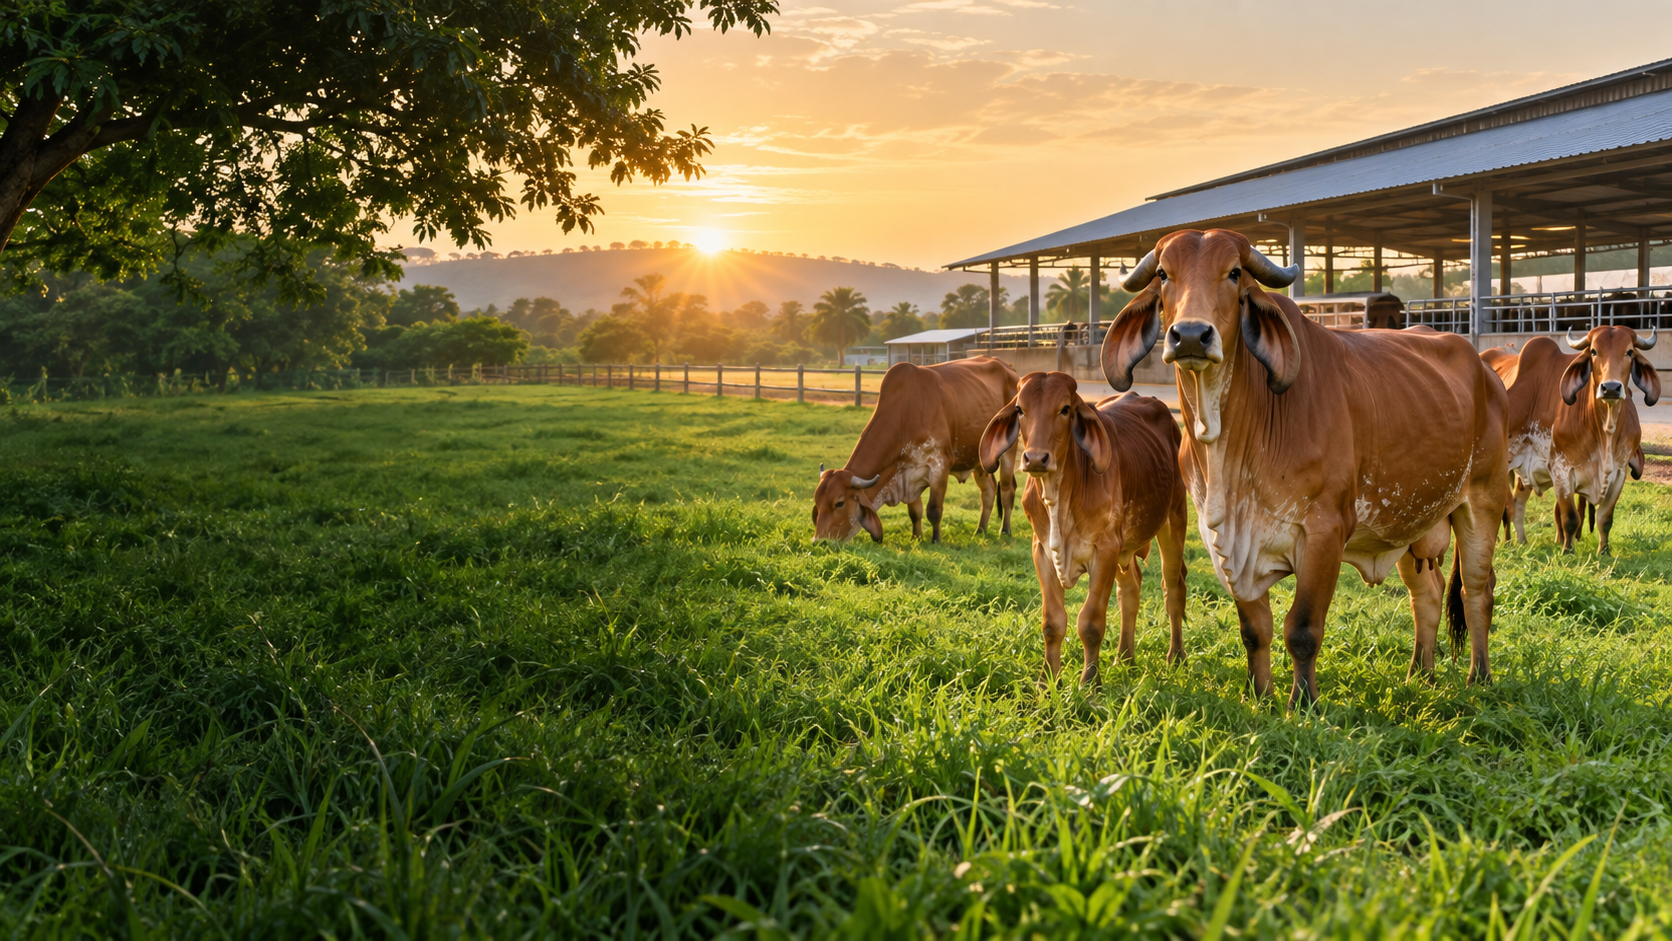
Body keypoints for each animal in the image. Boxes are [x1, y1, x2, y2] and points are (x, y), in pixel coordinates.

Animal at [814, 356, 1018, 543]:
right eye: (817, 502)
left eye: (839, 503)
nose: (819, 542)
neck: (905, 414)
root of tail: (1008, 367)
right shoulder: (907, 472)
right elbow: (915, 512)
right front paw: (916, 537)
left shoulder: (939, 466)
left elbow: (934, 510)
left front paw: (936, 540)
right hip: (980, 461)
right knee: (989, 491)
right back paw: (981, 530)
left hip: (1009, 451)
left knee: (1007, 490)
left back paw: (1005, 530)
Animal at [978, 373, 1188, 681]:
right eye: (1019, 409)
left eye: (1065, 409)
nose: (1035, 458)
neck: (1059, 496)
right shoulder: (1042, 551)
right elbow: (1052, 623)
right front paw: (1047, 682)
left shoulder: (1105, 551)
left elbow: (1090, 623)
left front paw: (1090, 683)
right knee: (1130, 589)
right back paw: (1124, 658)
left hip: (1174, 520)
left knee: (1173, 588)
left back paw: (1176, 656)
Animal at [1101, 229, 1510, 706]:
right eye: (1165, 274)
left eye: (1234, 273)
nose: (1189, 336)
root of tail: (1487, 368)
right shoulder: (1223, 543)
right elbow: (1255, 630)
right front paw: (1260, 696)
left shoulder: (1324, 533)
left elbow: (1301, 629)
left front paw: (1304, 702)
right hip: (1409, 523)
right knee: (1428, 592)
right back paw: (1419, 675)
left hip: (1483, 501)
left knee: (1477, 590)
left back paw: (1479, 677)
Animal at [1485, 327, 1658, 554]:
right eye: (1593, 351)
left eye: (1629, 352)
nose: (1611, 388)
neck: (1604, 433)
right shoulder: (1561, 469)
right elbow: (1569, 517)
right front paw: (1567, 550)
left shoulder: (1619, 472)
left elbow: (1605, 518)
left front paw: (1604, 551)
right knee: (1504, 508)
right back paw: (1503, 542)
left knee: (1516, 504)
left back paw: (1521, 542)